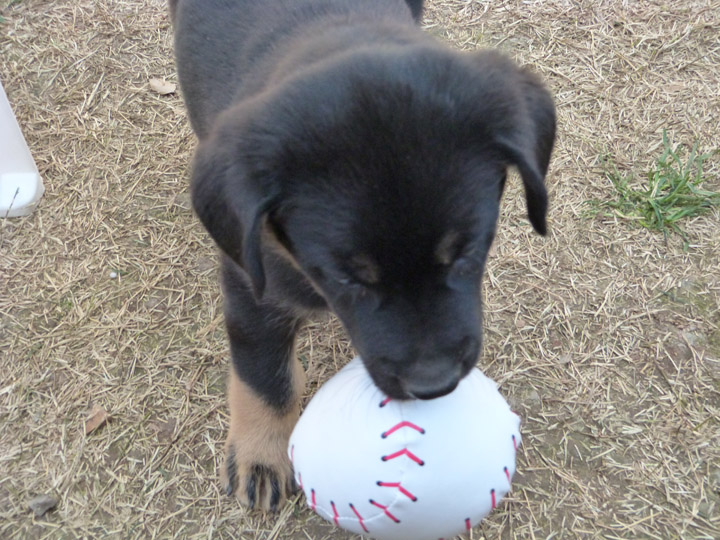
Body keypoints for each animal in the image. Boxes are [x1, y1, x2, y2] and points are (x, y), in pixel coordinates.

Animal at [170, 0, 556, 510]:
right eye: (347, 279)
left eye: (466, 253)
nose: (434, 385)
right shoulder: (251, 284)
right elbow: (262, 373)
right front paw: (260, 455)